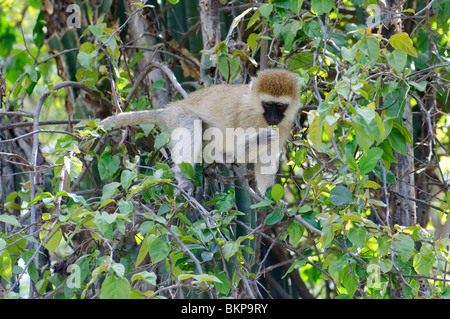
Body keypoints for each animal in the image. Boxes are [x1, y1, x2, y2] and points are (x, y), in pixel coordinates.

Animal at [100, 69, 300, 196]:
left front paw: (270, 200)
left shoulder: (284, 125)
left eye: (280, 106)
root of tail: (170, 109)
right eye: (268, 104)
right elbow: (237, 151)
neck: (257, 111)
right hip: (179, 115)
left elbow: (266, 159)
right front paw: (261, 138)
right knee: (192, 123)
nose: (273, 118)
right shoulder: (246, 117)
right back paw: (184, 178)